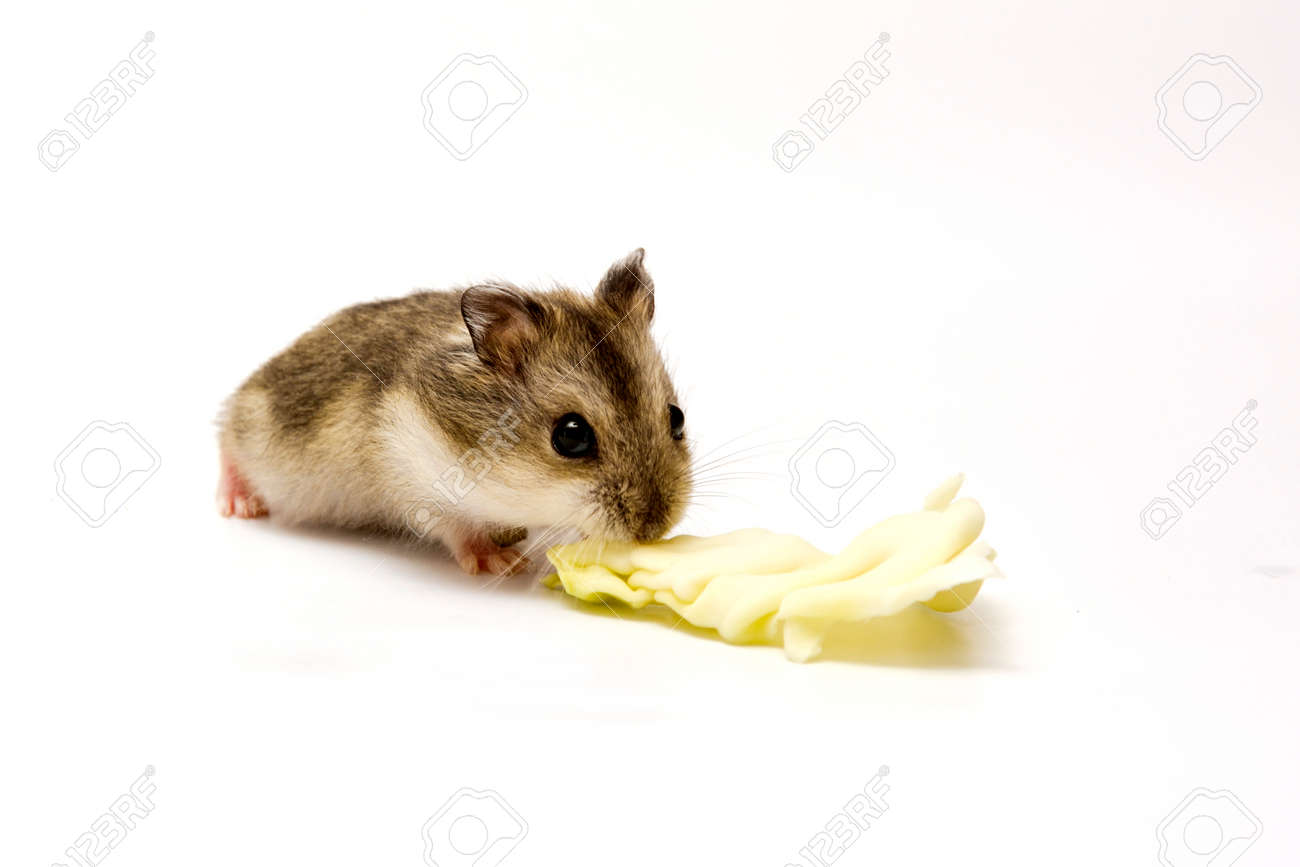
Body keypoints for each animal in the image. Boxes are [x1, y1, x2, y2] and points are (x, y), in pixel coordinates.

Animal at [217, 249, 692, 576]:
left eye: (677, 418)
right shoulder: (418, 475)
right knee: (226, 438)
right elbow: (459, 528)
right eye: (571, 436)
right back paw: (239, 504)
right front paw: (504, 563)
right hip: (256, 428)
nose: (653, 530)